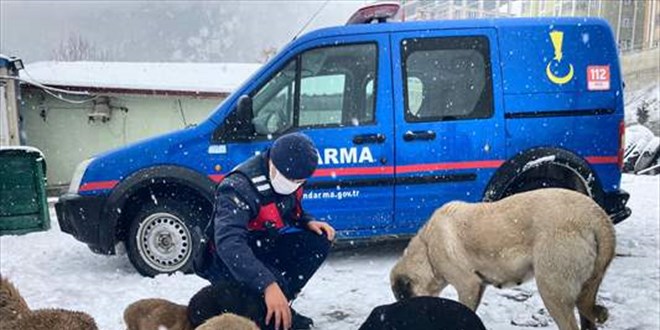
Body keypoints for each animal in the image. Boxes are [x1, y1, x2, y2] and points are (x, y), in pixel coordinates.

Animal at [390, 188, 616, 330]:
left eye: (402, 298)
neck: (427, 249)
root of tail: (597, 216)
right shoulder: (478, 286)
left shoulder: (467, 285)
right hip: (585, 288)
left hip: (553, 292)